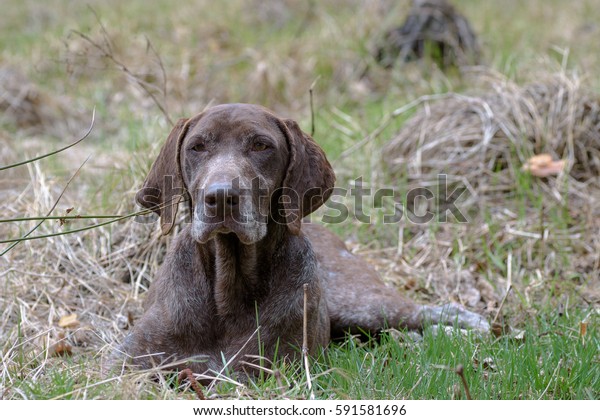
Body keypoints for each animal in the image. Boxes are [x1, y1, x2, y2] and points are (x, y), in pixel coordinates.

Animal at [117, 104, 488, 378]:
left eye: (260, 145)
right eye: (197, 147)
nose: (220, 197)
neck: (229, 286)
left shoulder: (283, 371)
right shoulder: (126, 364)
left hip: (361, 304)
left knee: (426, 311)